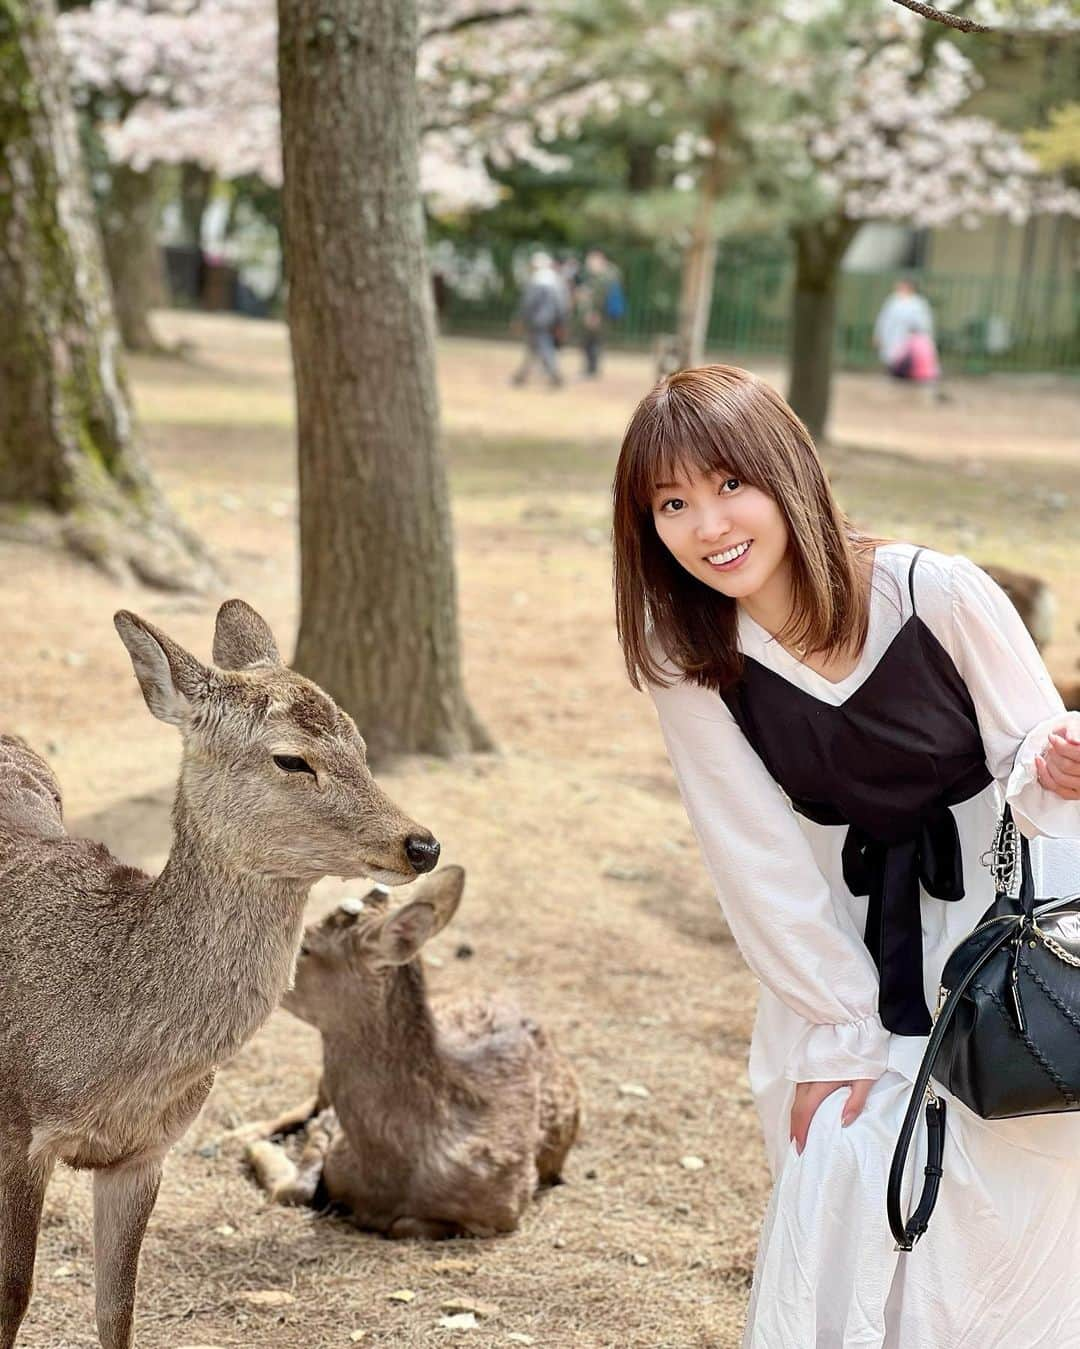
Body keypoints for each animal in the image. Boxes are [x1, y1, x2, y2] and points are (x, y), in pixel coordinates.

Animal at [1, 604, 436, 1349]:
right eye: (291, 757)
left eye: (360, 743)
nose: (422, 844)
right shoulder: (16, 1131)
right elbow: (13, 1296)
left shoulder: (145, 1155)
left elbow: (117, 1309)